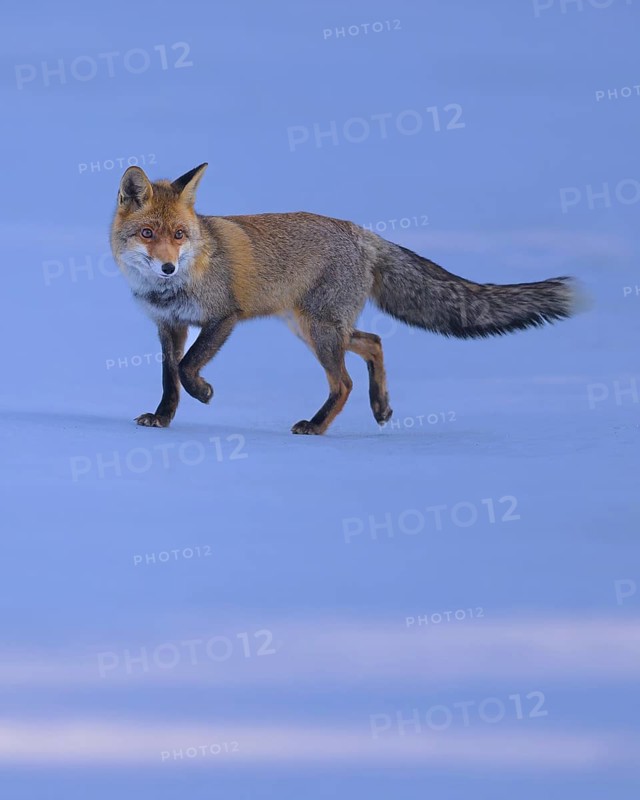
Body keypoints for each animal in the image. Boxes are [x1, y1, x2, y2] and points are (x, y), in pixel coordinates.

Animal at [110, 163, 581, 435]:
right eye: (148, 233)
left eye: (179, 235)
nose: (168, 268)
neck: (171, 289)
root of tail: (361, 232)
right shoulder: (168, 325)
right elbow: (169, 376)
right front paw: (163, 418)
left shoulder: (224, 316)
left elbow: (188, 368)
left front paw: (203, 392)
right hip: (313, 327)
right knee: (373, 341)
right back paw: (381, 406)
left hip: (318, 330)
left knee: (344, 382)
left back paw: (318, 426)